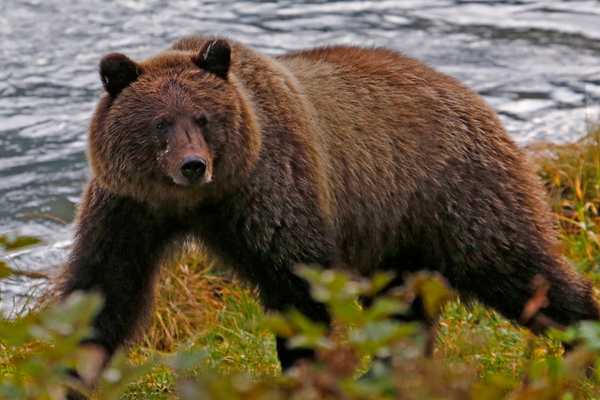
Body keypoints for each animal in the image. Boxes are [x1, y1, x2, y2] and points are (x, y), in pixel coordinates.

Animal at [62, 33, 600, 390]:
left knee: (518, 269)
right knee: (403, 308)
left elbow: (299, 289)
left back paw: (583, 341)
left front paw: (302, 371)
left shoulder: (275, 188)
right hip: (399, 232)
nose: (193, 164)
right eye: (160, 123)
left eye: (203, 117)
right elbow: (105, 288)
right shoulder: (130, 206)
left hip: (457, 193)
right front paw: (73, 372)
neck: (197, 202)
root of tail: (469, 94)